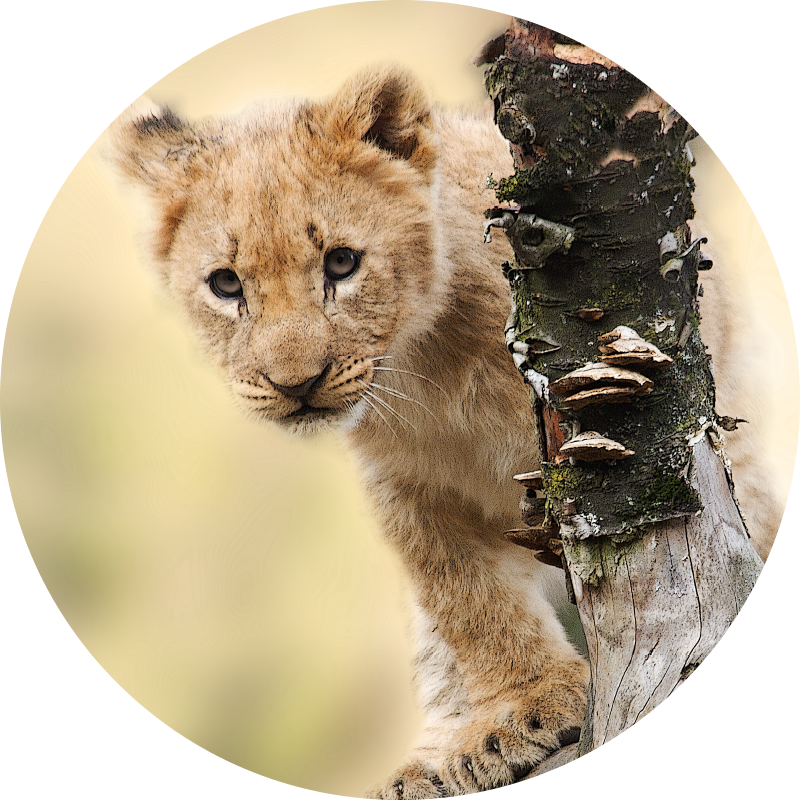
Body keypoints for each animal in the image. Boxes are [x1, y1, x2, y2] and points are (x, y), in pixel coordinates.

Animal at [111, 65, 777, 797]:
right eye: (226, 284)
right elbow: (464, 599)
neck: (426, 366)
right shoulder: (405, 487)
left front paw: (527, 711)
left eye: (342, 264)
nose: (295, 385)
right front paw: (520, 709)